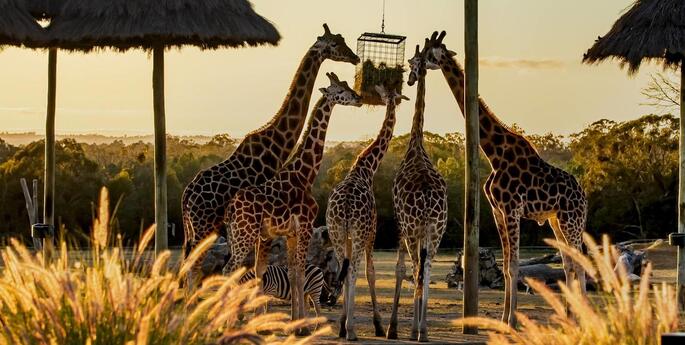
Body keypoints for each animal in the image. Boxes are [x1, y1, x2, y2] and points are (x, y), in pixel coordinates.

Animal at [180, 23, 358, 276]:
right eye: (335, 43)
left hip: (195, 229)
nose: (355, 57)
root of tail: (186, 196)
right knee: (193, 268)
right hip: (204, 226)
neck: (277, 144)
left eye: (343, 40)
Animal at [223, 72, 364, 334]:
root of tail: (230, 209)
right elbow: (299, 274)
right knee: (228, 270)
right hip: (245, 235)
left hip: (238, 235)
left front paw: (294, 323)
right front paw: (302, 327)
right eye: (340, 90)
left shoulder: (289, 233)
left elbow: (292, 272)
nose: (359, 98)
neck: (304, 175)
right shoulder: (306, 227)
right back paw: (226, 325)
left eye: (348, 85)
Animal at [324, 84, 406, 340]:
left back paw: (344, 327)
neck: (366, 168)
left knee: (345, 269)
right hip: (359, 233)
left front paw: (342, 322)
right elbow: (370, 272)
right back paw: (351, 330)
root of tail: (346, 206)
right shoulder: (371, 233)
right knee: (353, 271)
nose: (394, 101)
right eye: (390, 95)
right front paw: (378, 325)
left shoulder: (348, 235)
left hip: (336, 231)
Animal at [422, 30, 588, 326]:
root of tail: (584, 195)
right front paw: (503, 318)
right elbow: (508, 265)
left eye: (431, 52)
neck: (493, 153)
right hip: (557, 220)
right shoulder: (497, 210)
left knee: (579, 262)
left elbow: (513, 265)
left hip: (572, 219)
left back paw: (584, 318)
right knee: (568, 263)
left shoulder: (512, 209)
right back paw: (569, 317)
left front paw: (512, 320)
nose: (415, 62)